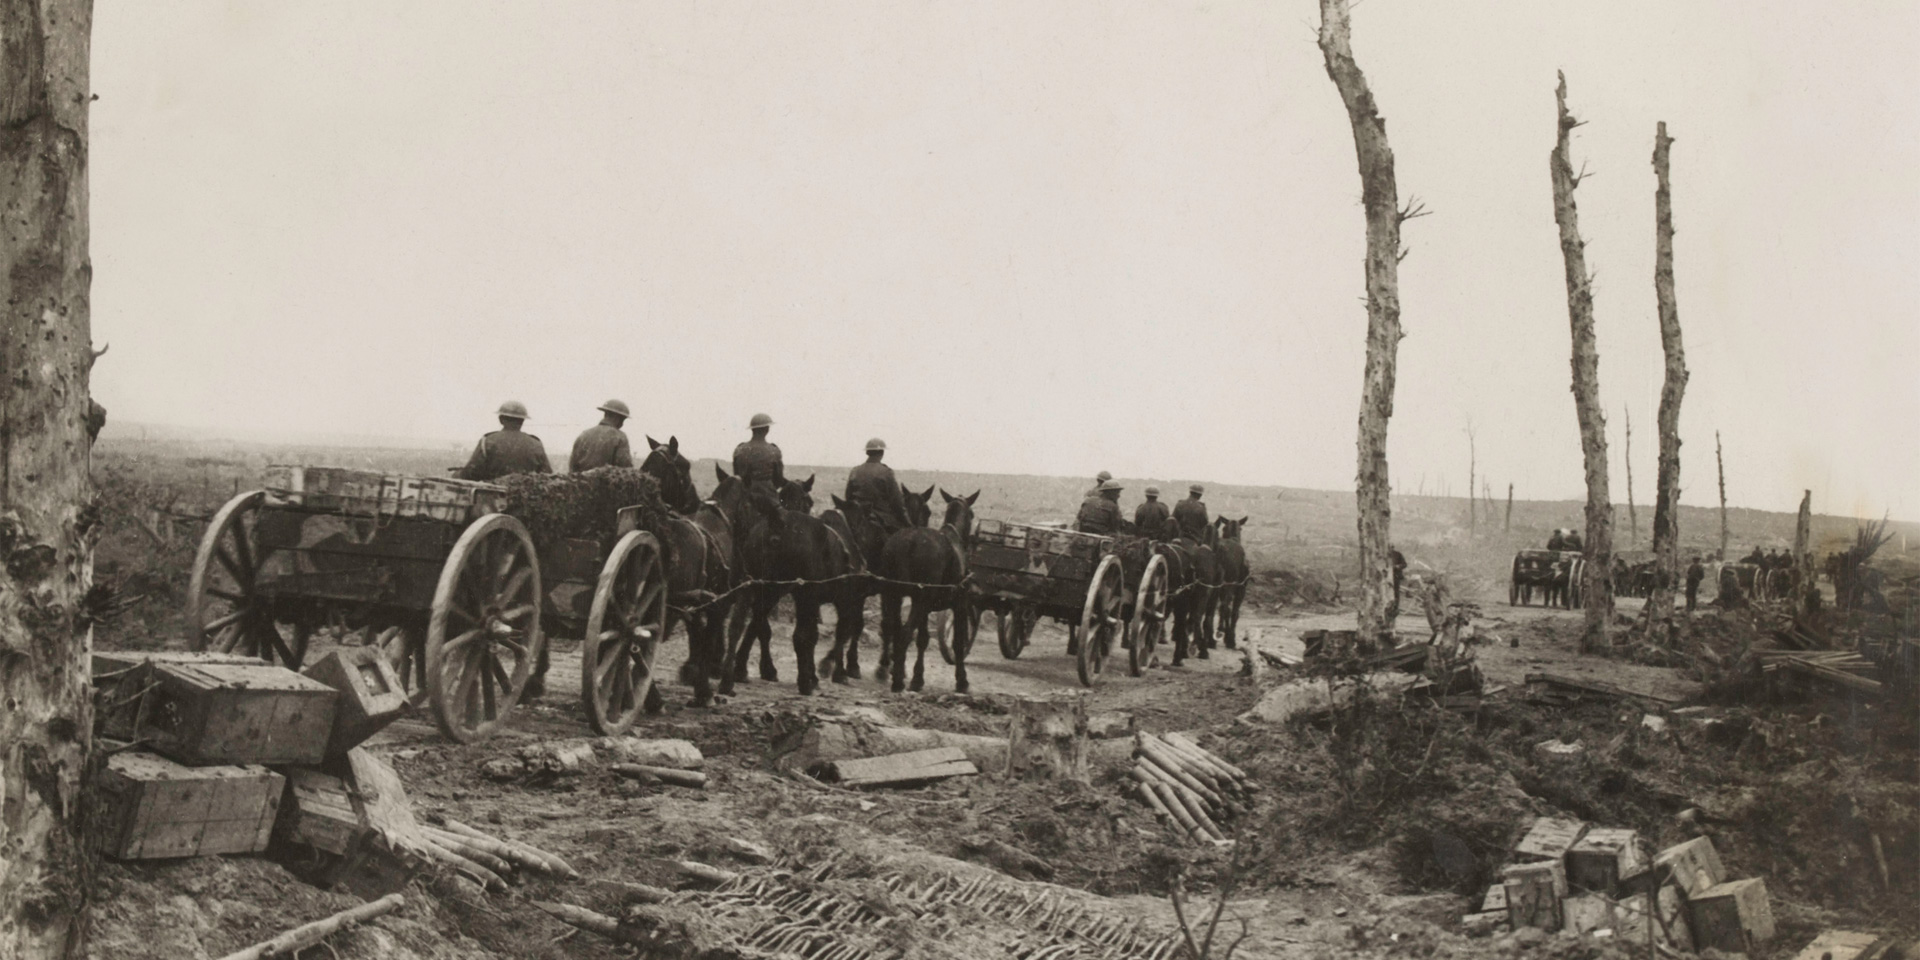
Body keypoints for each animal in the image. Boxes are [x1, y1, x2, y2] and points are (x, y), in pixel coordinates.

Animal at [879, 491, 975, 695]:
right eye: (971, 514)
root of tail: (907, 542)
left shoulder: (925, 607)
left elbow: (922, 639)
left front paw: (917, 678)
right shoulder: (960, 604)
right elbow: (958, 642)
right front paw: (962, 681)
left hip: (893, 595)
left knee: (891, 628)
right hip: (918, 601)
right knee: (904, 633)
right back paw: (897, 680)